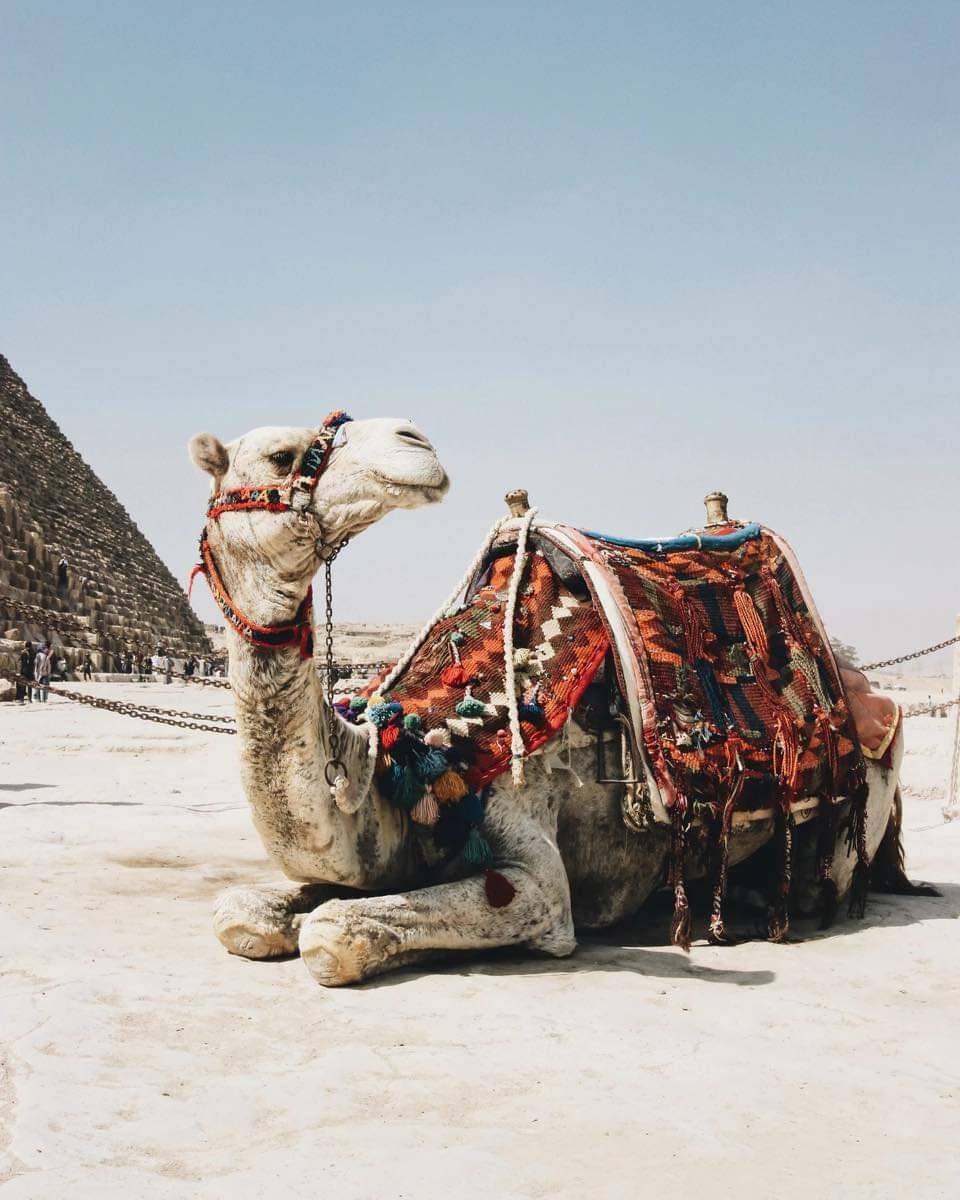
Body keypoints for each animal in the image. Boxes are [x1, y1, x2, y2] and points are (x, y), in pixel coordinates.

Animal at [189, 416, 913, 987]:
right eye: (282, 455)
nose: (412, 439)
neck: (413, 757)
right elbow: (240, 913)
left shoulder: (539, 882)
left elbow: (331, 933)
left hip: (861, 802)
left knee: (826, 878)